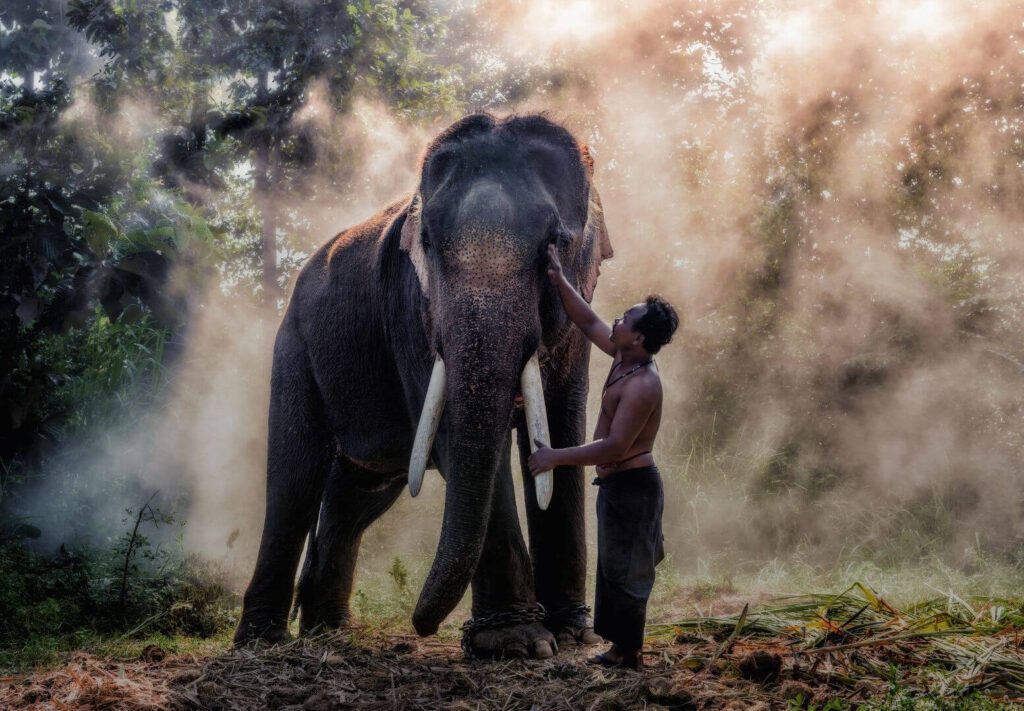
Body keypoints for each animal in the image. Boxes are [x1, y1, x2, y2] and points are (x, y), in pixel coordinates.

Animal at [233, 113, 614, 659]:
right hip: (295, 348)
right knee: (294, 478)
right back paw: (262, 642)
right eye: (429, 244)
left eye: (557, 242)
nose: (421, 626)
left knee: (359, 493)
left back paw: (328, 631)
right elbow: (456, 440)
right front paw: (517, 643)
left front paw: (574, 636)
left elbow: (564, 430)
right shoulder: (411, 309)